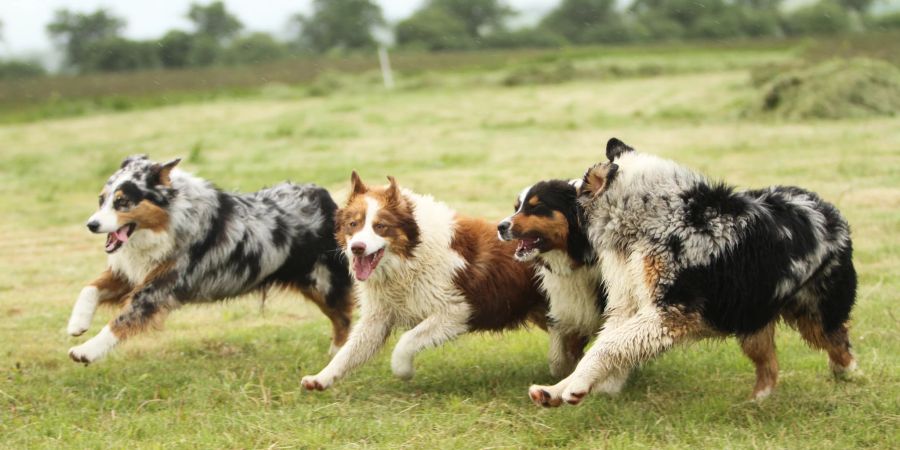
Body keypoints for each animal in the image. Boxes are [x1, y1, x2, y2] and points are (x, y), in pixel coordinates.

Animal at [300, 172, 548, 390]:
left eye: (380, 226)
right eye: (353, 224)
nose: (357, 248)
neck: (412, 253)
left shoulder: (455, 310)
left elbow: (406, 341)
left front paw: (403, 370)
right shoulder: (378, 316)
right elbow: (348, 352)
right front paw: (321, 378)